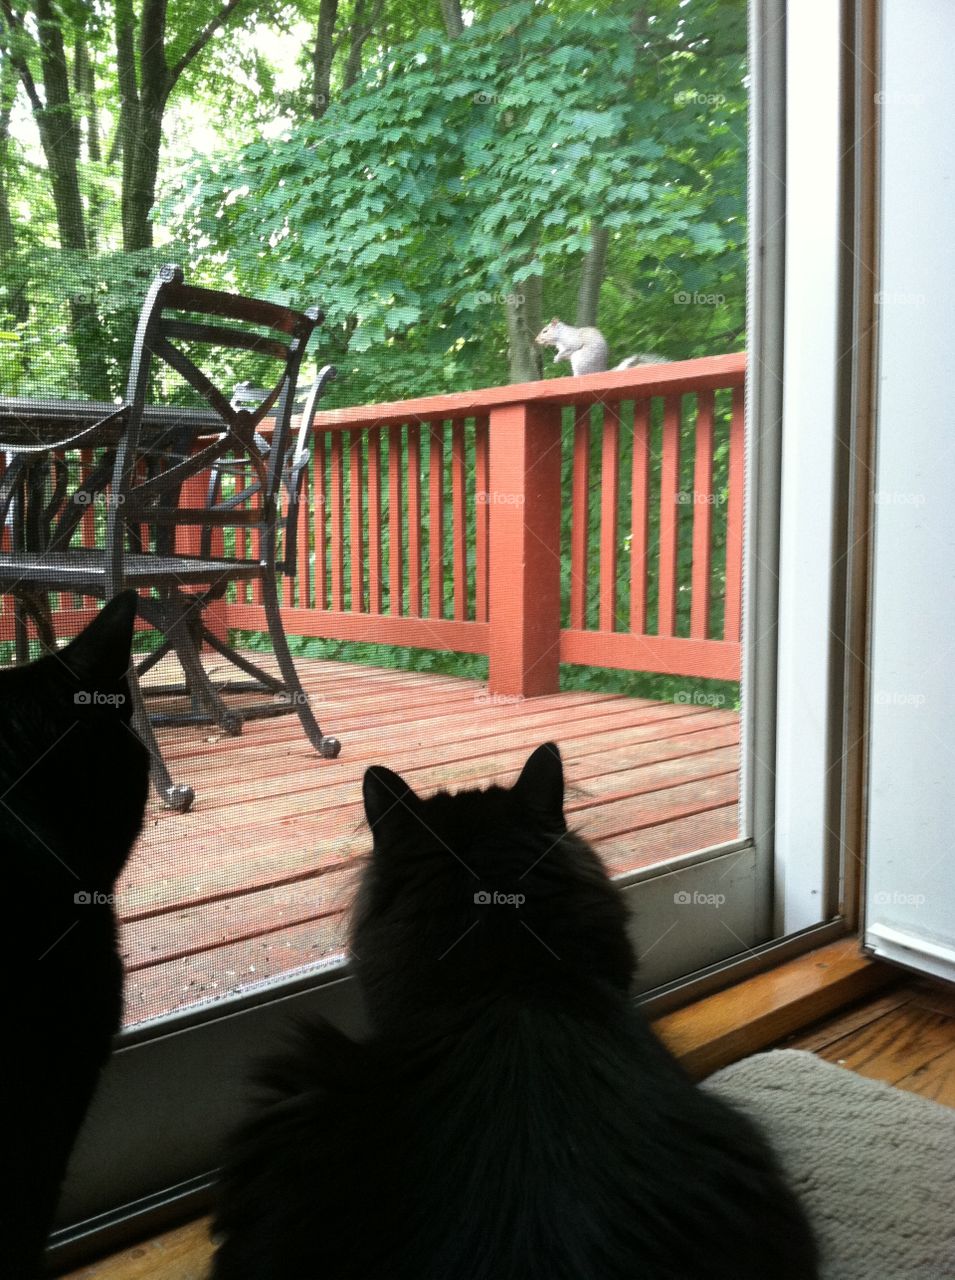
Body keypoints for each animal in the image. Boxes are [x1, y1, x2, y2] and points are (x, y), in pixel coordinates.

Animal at [534, 318, 666, 376]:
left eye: (545, 331)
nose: (536, 340)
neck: (560, 334)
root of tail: (598, 371)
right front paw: (557, 358)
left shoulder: (571, 340)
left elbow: (571, 348)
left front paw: (556, 358)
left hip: (579, 360)